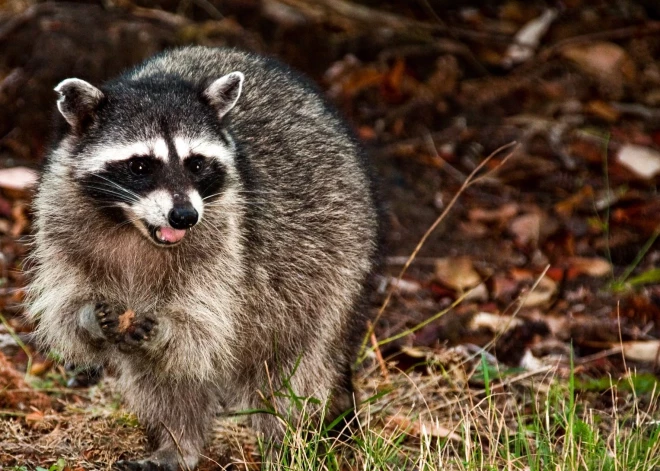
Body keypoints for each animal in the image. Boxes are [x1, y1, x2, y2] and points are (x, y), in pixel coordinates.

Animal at [27, 46, 382, 470]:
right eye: (140, 165)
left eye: (196, 163)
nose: (184, 216)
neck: (133, 227)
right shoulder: (60, 218)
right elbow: (64, 309)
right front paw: (86, 317)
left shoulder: (228, 242)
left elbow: (204, 323)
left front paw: (168, 327)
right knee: (165, 383)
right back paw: (177, 443)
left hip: (334, 263)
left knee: (291, 370)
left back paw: (288, 444)